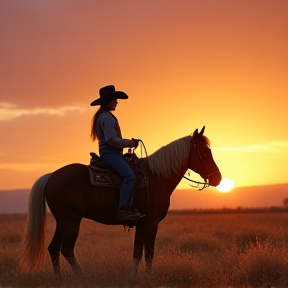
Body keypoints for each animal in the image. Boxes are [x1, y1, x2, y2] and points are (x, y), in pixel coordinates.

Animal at [20, 126, 222, 286]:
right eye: (205, 153)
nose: (218, 178)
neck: (156, 177)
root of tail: (52, 176)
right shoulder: (151, 222)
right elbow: (146, 252)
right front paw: (143, 280)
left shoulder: (143, 223)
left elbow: (140, 251)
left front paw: (136, 279)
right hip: (71, 221)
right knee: (66, 249)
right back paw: (83, 278)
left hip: (62, 221)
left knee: (53, 249)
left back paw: (59, 280)